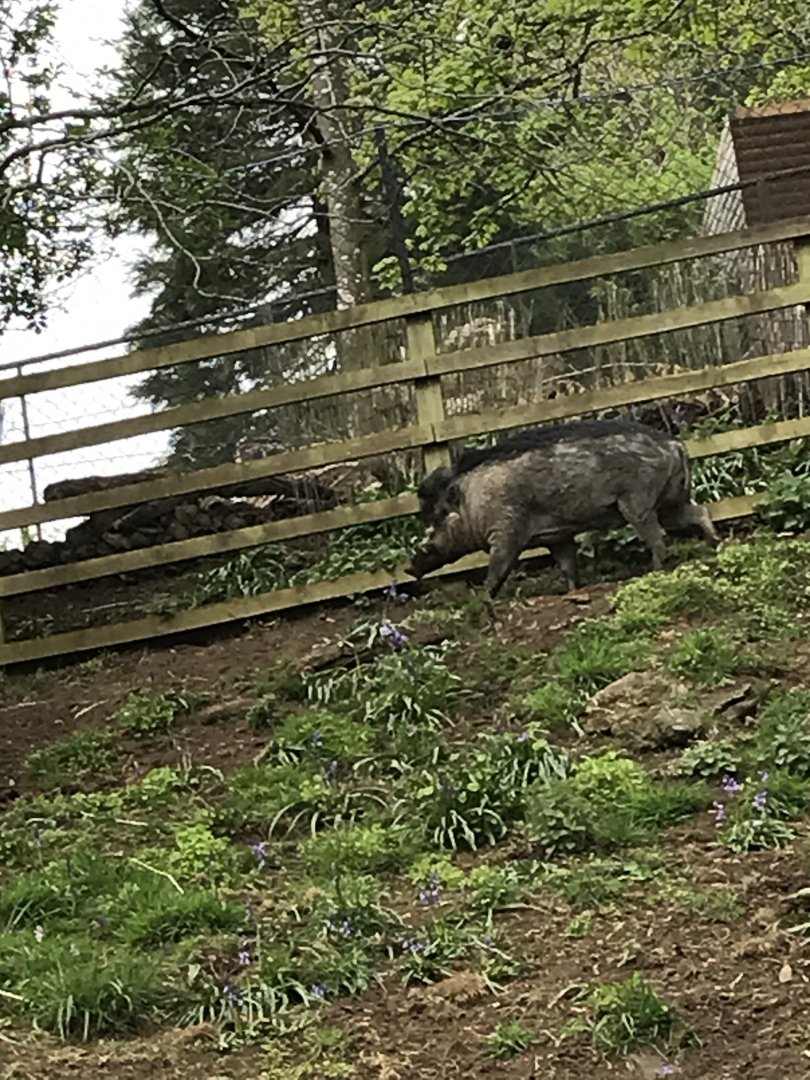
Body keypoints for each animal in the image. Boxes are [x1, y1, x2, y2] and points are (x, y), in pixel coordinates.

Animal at [407, 418, 720, 597]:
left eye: (440, 516)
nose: (410, 567)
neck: (473, 501)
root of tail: (676, 444)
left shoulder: (507, 529)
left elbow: (499, 566)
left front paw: (485, 597)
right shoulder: (557, 536)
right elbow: (567, 564)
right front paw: (571, 591)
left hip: (637, 502)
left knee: (657, 537)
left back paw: (654, 571)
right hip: (671, 500)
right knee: (699, 512)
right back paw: (714, 545)